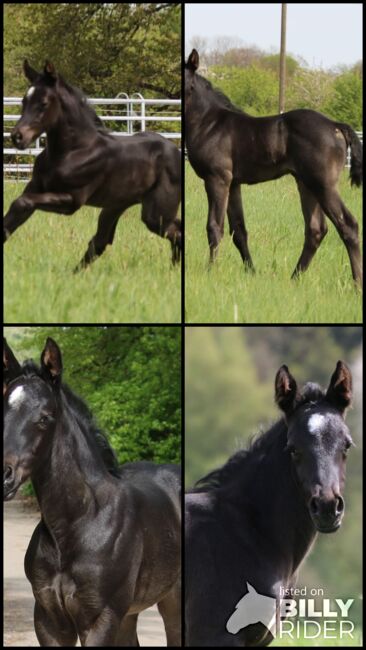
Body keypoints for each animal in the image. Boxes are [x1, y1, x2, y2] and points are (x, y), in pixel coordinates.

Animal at [4, 62, 182, 270]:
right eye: (24, 100)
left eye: (44, 103)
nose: (17, 137)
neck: (73, 151)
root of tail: (175, 150)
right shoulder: (34, 188)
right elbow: (16, 212)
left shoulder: (72, 200)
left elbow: (21, 203)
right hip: (115, 207)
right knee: (100, 242)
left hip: (155, 214)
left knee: (176, 231)